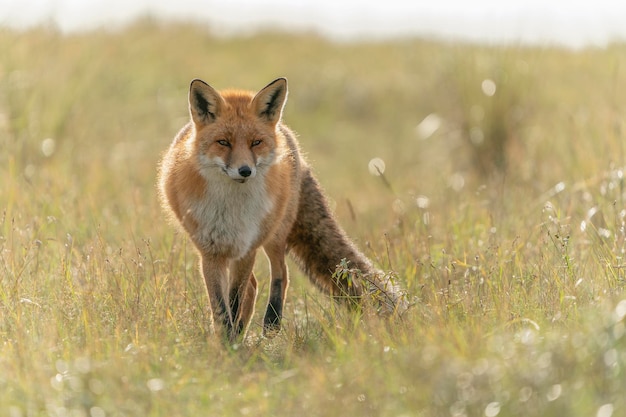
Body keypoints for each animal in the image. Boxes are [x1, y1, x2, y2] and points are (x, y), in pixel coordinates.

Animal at [158, 78, 404, 342]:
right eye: (223, 142)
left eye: (256, 142)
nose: (245, 170)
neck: (231, 209)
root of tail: (286, 133)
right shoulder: (211, 252)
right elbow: (221, 306)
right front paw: (227, 340)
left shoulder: (247, 248)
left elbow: (234, 300)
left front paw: (231, 341)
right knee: (254, 286)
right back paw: (244, 332)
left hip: (275, 233)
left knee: (281, 273)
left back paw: (271, 321)